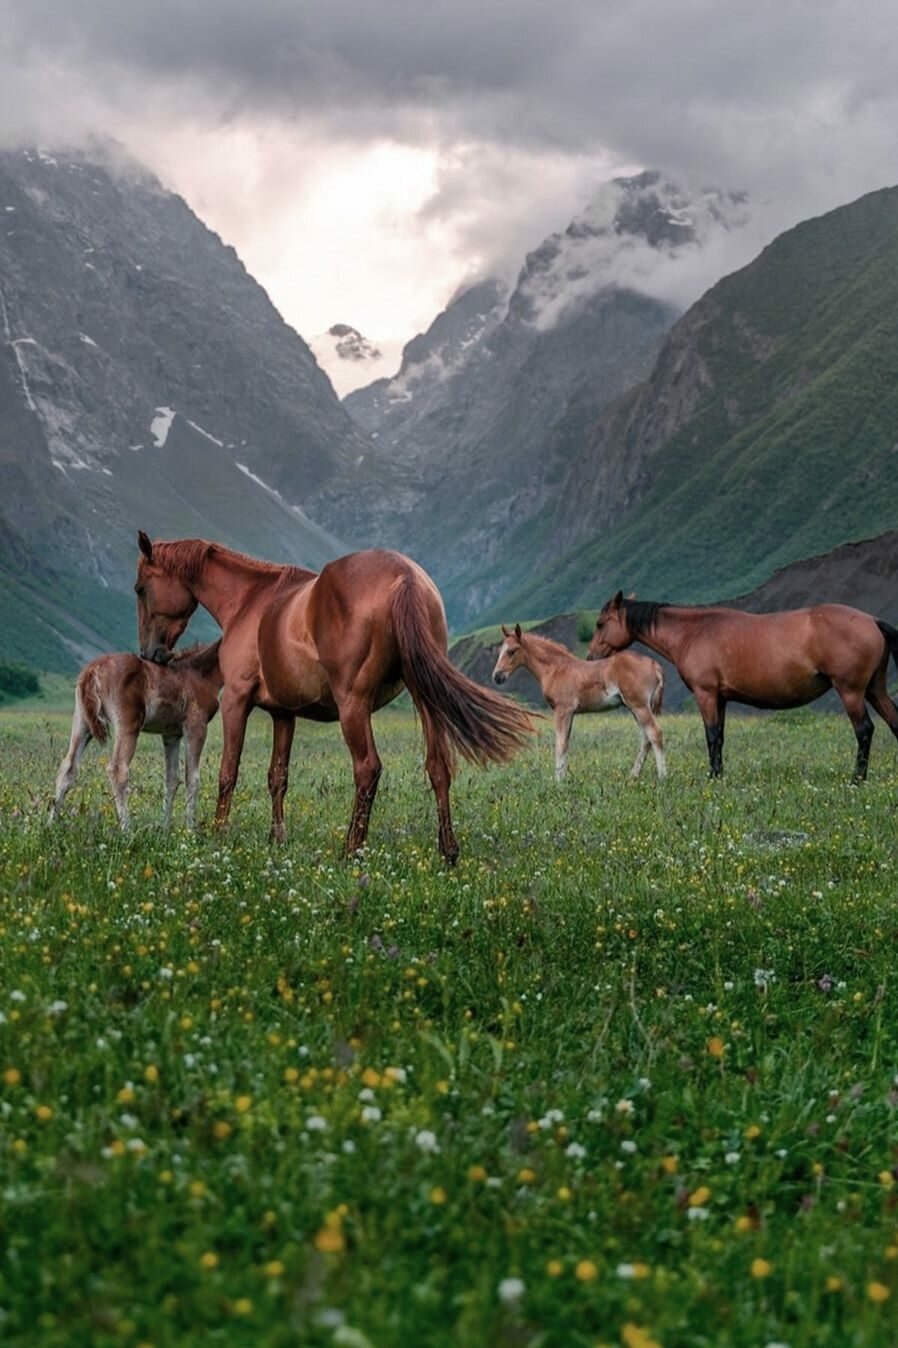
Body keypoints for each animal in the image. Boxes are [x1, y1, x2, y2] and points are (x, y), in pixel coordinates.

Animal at [51, 641, 222, 829]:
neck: (198, 674)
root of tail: (92, 671)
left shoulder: (171, 734)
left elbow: (171, 779)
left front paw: (165, 828)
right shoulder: (196, 726)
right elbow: (192, 778)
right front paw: (190, 829)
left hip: (82, 722)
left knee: (68, 767)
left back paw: (50, 824)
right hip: (128, 726)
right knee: (118, 770)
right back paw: (127, 829)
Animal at [134, 534, 533, 861]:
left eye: (140, 588)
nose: (149, 653)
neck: (250, 601)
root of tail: (405, 576)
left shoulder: (236, 700)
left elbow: (227, 772)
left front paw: (218, 835)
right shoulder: (284, 714)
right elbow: (277, 777)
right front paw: (277, 838)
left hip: (353, 705)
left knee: (368, 768)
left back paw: (351, 849)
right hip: (425, 698)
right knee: (438, 766)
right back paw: (447, 851)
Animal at [491, 623, 666, 781]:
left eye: (512, 651)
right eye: (499, 651)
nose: (497, 676)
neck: (556, 669)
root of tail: (655, 665)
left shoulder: (563, 710)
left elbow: (560, 744)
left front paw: (558, 781)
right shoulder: (570, 713)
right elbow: (566, 743)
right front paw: (564, 777)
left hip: (639, 706)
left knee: (655, 733)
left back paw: (662, 777)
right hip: (635, 707)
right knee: (645, 739)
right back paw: (633, 775)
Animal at [588, 592, 898, 779]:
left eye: (600, 623)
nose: (591, 656)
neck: (694, 632)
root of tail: (872, 621)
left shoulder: (706, 695)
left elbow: (711, 736)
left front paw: (713, 776)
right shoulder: (721, 698)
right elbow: (720, 737)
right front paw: (720, 774)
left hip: (851, 692)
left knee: (864, 730)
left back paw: (857, 778)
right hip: (875, 691)